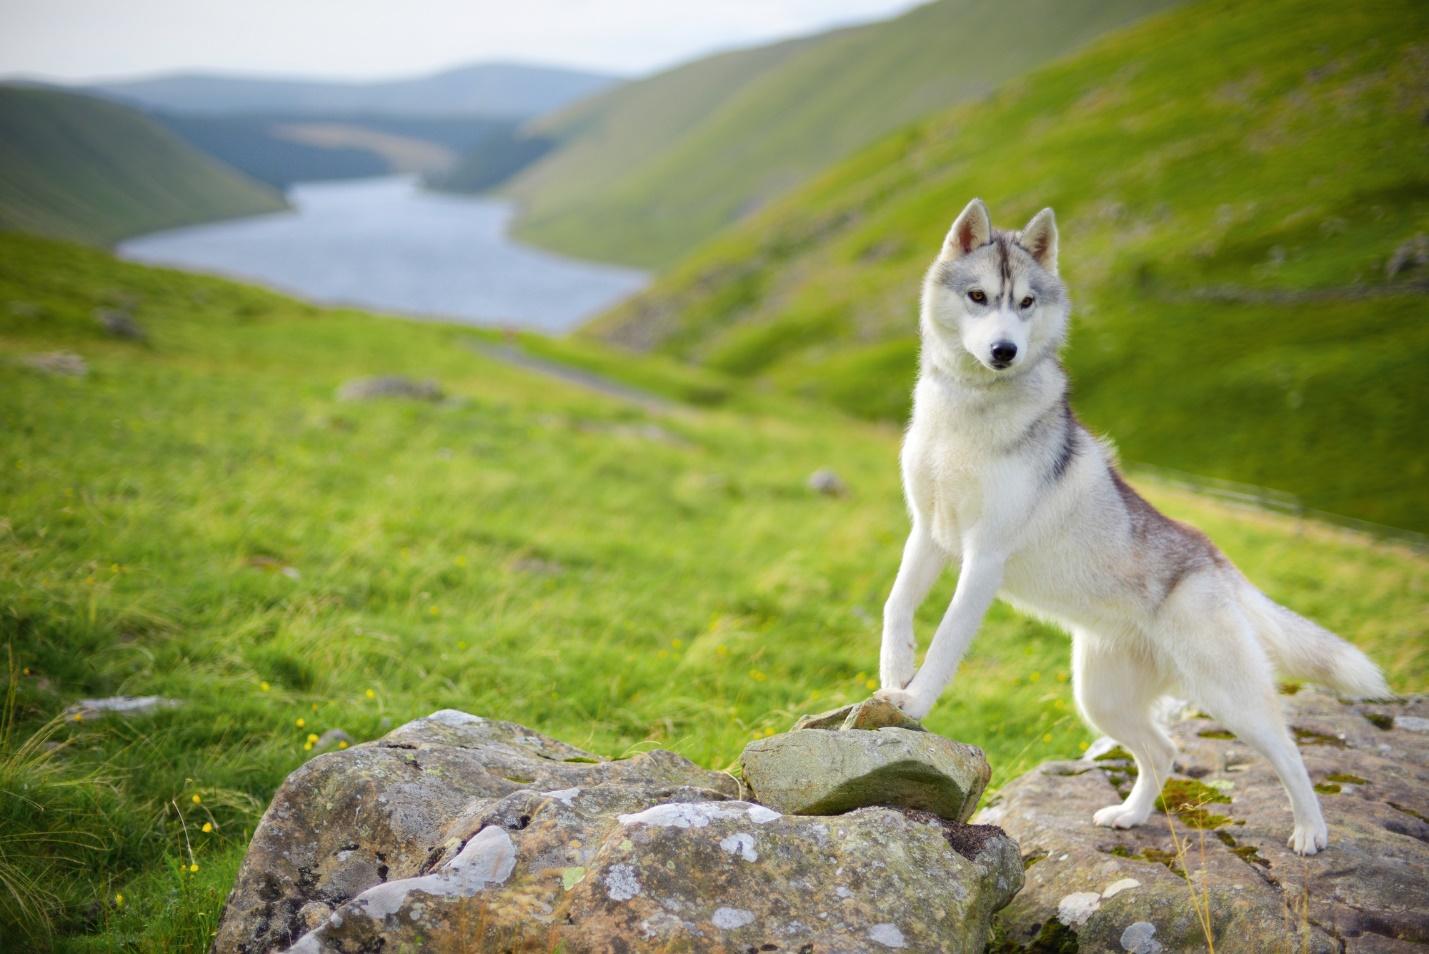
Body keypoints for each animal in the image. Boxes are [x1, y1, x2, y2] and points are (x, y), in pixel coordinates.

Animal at [874, 197, 1388, 851]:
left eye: (1026, 303)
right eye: (979, 296)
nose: (1004, 351)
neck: (968, 412)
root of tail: (1212, 553)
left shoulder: (983, 557)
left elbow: (945, 642)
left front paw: (916, 702)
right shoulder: (929, 533)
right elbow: (897, 607)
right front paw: (894, 676)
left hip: (1228, 697)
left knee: (1289, 750)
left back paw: (1310, 831)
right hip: (1103, 699)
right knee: (1162, 752)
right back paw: (1132, 815)